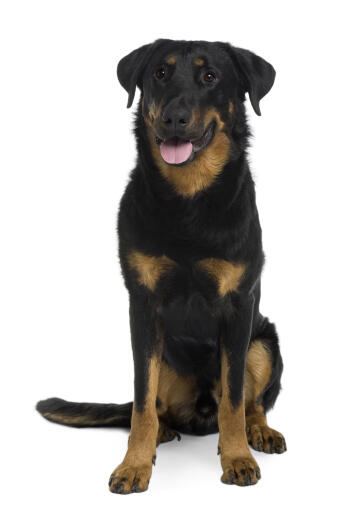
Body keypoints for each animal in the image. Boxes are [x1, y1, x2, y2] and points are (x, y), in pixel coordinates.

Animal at [37, 40, 286, 496]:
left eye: (210, 76)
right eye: (160, 74)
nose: (174, 117)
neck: (188, 198)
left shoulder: (239, 305)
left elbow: (234, 399)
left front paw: (238, 456)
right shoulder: (143, 305)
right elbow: (141, 403)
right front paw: (134, 463)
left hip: (263, 341)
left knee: (252, 403)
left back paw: (260, 432)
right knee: (153, 405)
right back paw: (163, 434)